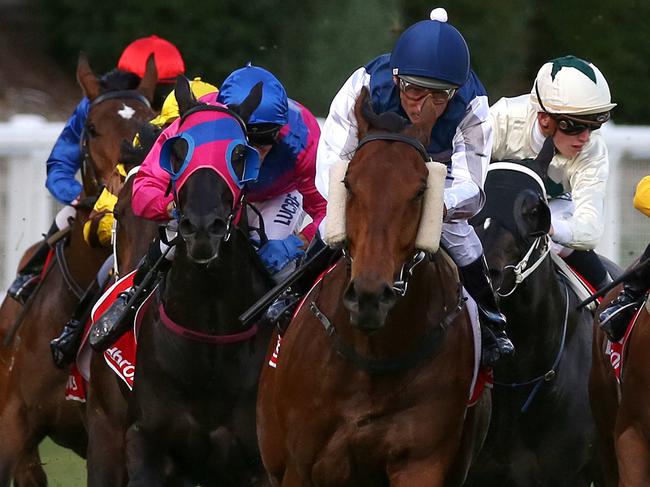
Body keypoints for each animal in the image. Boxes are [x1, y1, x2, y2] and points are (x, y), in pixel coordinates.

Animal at [256, 88, 488, 487]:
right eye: (348, 183)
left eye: (420, 190)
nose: (369, 296)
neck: (374, 355)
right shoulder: (300, 463)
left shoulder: (422, 462)